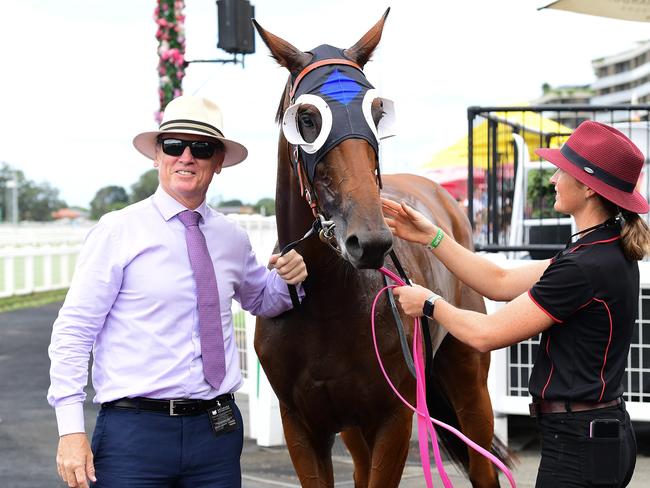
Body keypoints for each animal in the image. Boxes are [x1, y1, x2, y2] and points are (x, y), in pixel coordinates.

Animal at [252, 9, 506, 486]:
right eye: (308, 119)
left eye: (376, 112)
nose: (369, 241)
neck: (327, 304)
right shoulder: (301, 426)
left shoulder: (394, 418)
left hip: (469, 380)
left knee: (483, 463)